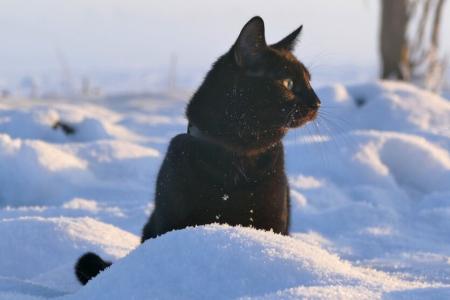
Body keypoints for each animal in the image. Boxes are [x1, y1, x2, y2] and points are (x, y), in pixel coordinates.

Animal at [74, 17, 320, 286]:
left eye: (309, 80)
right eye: (288, 83)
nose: (317, 102)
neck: (237, 156)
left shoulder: (272, 220)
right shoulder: (173, 218)